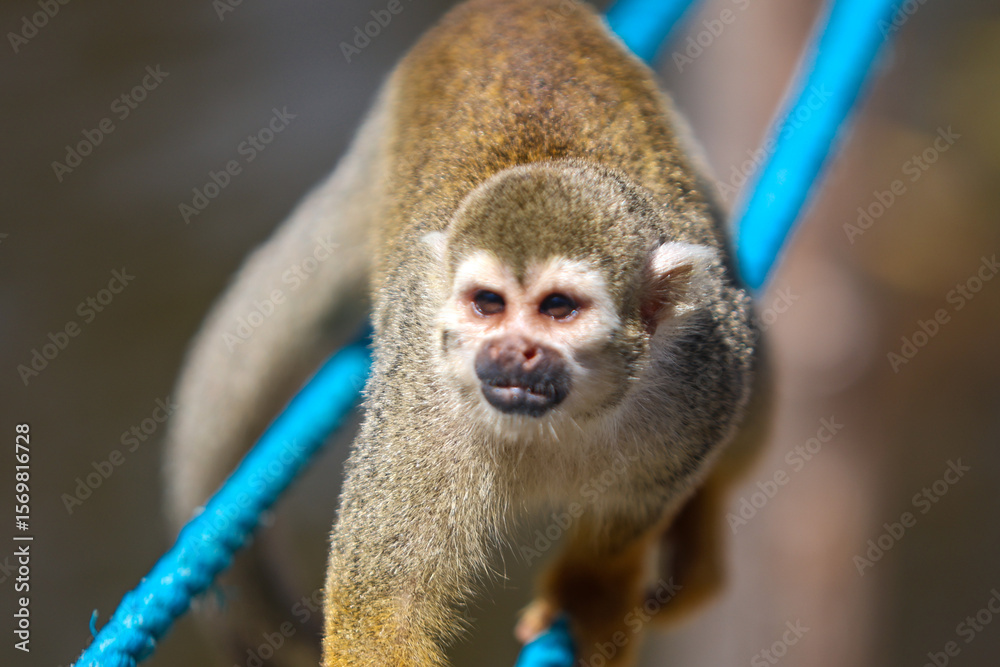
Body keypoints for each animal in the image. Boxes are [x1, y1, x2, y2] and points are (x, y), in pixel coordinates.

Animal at [163, 1, 771, 665]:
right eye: (487, 305)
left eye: (558, 308)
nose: (511, 351)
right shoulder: (421, 406)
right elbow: (381, 607)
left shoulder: (702, 376)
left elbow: (640, 505)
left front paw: (591, 592)